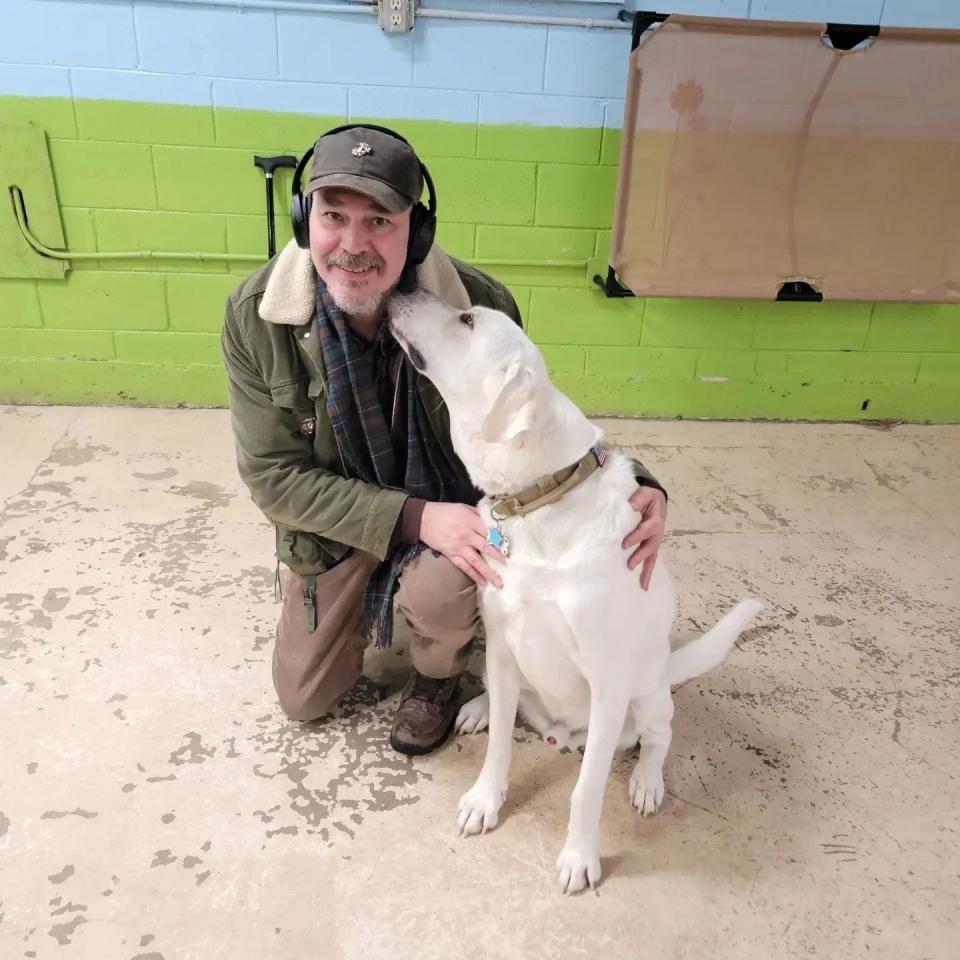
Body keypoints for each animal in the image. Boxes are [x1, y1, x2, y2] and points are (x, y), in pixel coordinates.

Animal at [386, 290, 760, 892]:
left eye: (467, 320)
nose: (400, 291)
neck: (539, 498)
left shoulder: (607, 680)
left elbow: (587, 789)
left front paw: (580, 856)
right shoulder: (503, 642)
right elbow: (498, 748)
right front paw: (485, 799)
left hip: (646, 691)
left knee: (660, 736)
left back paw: (648, 781)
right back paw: (481, 707)